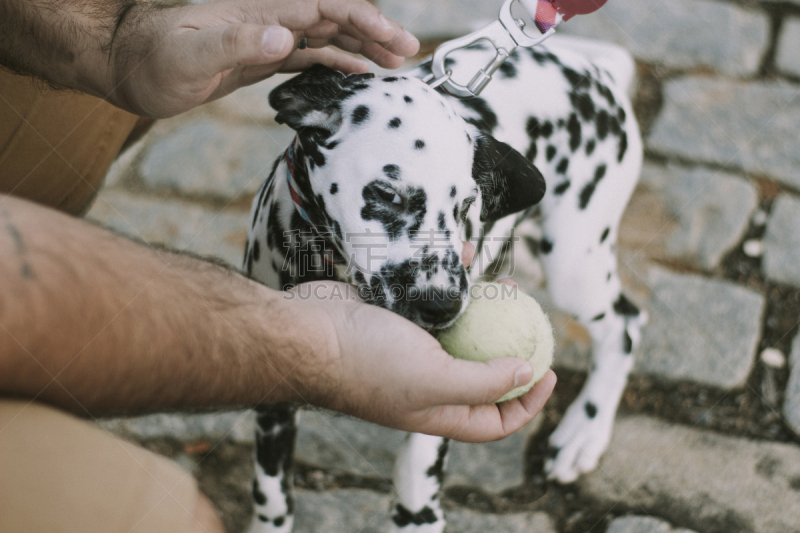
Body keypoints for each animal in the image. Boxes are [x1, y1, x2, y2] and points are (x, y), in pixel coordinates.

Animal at [242, 35, 644, 528]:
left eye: (467, 205)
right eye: (387, 194)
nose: (444, 305)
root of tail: (597, 72)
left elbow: (417, 484)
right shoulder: (272, 401)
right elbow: (272, 495)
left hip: (574, 263)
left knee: (624, 325)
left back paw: (583, 432)